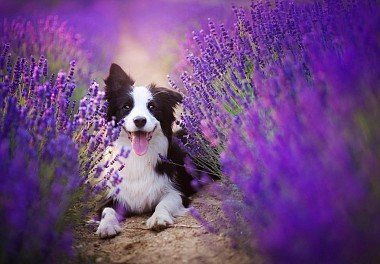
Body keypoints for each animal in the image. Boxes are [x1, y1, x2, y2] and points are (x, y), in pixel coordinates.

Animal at [95, 63, 197, 237]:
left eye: (152, 107)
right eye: (126, 107)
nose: (139, 121)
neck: (138, 157)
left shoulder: (177, 191)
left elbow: (164, 203)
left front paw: (158, 218)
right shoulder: (112, 196)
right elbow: (107, 210)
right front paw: (107, 226)